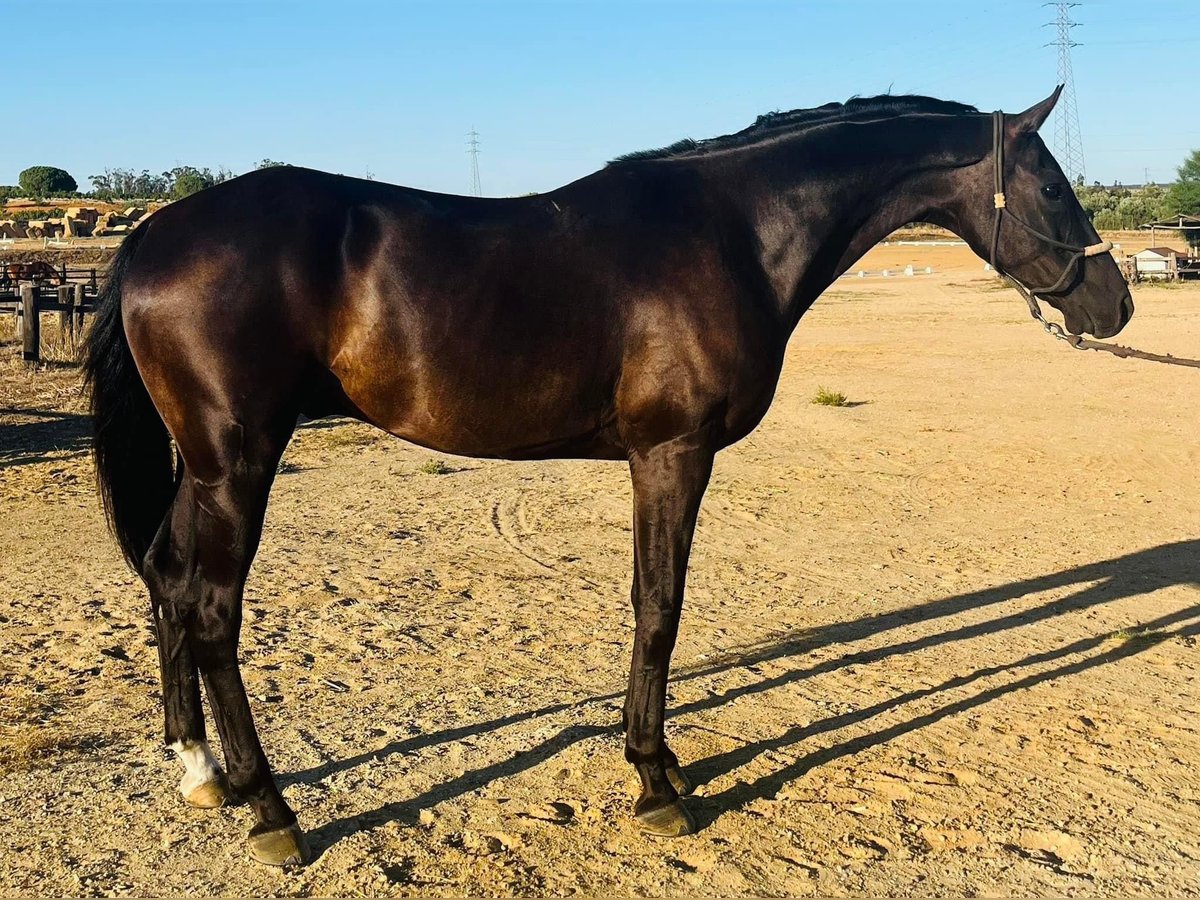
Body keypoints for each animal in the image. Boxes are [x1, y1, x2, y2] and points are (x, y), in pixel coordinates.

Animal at [84, 86, 1132, 868]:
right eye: (1051, 185)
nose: (1115, 306)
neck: (734, 234)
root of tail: (153, 235)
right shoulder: (672, 453)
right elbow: (659, 608)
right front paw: (656, 780)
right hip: (238, 463)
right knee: (212, 610)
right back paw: (272, 811)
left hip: (207, 468)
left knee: (168, 580)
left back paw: (201, 772)